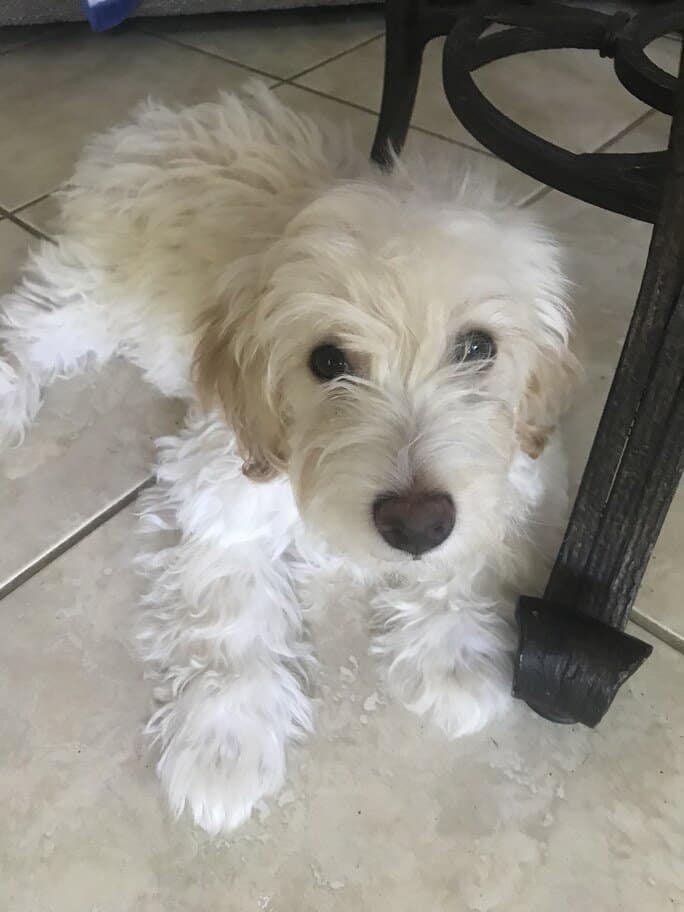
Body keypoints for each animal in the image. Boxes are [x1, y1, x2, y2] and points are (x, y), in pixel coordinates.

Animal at [0, 85, 575, 834]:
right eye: (327, 362)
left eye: (478, 347)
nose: (416, 525)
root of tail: (157, 121)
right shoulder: (221, 489)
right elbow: (230, 622)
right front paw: (223, 748)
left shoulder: (502, 480)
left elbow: (462, 562)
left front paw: (453, 655)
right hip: (94, 293)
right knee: (32, 324)